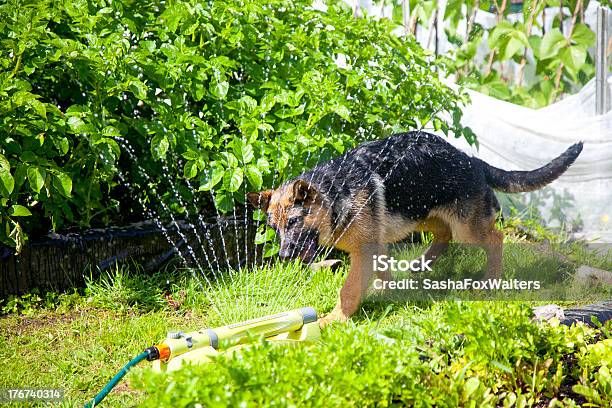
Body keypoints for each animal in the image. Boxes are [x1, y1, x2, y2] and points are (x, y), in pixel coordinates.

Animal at [246, 132, 580, 326]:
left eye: (294, 222)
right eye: (275, 228)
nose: (285, 256)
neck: (335, 196)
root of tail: (472, 161)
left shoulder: (365, 249)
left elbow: (349, 289)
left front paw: (335, 319)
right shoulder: (375, 245)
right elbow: (382, 274)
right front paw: (388, 294)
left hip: (464, 229)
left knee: (494, 239)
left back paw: (490, 280)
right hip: (421, 212)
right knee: (443, 235)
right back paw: (421, 264)